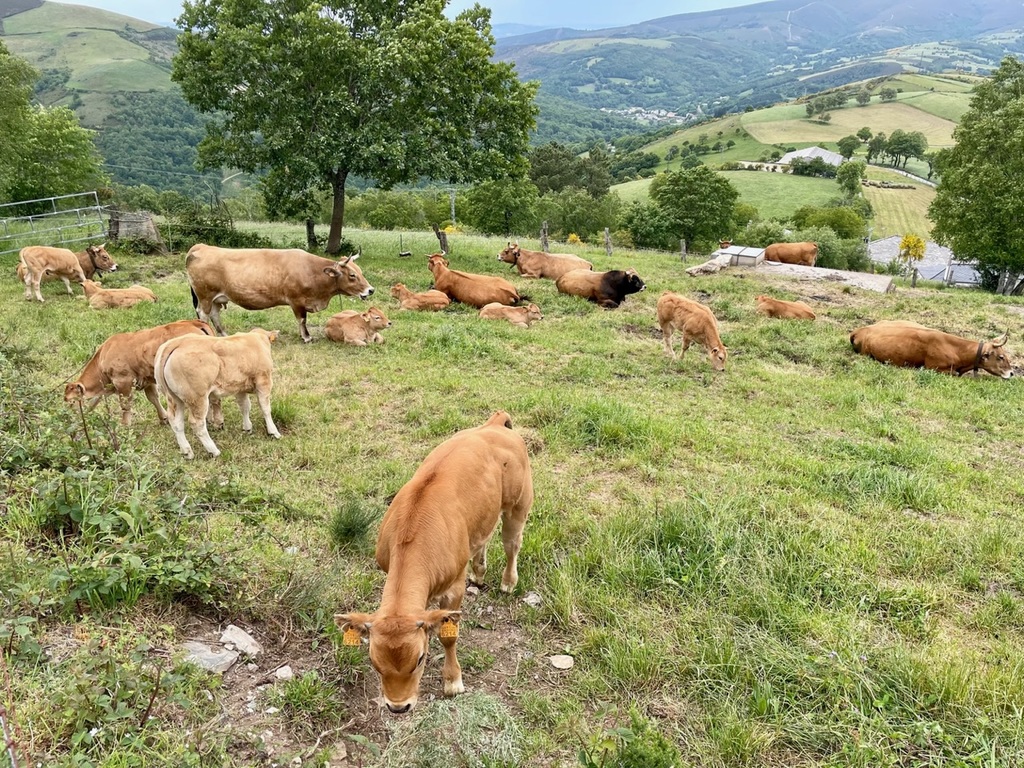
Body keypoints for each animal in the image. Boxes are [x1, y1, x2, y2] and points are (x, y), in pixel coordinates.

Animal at [64, 319, 214, 428]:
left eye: (71, 402)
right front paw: (163, 418)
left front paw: (125, 425)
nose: (66, 419)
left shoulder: (123, 381)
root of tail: (194, 322)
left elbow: (125, 405)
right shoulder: (147, 379)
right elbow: (153, 398)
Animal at [151, 327, 282, 460]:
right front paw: (273, 432)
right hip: (197, 397)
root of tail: (176, 342)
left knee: (176, 423)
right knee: (197, 423)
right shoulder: (264, 381)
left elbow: (244, 407)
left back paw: (187, 451)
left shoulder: (239, 387)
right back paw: (213, 450)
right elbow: (265, 408)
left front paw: (247, 428)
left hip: (175, 398)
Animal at [186, 244, 374, 344]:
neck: (312, 271)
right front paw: (306, 337)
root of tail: (201, 246)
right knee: (204, 315)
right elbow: (302, 320)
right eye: (352, 275)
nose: (371, 290)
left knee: (215, 315)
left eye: (360, 271)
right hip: (205, 297)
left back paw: (224, 335)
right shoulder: (296, 301)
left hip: (216, 298)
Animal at [335, 411, 532, 712]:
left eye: (420, 658)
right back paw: (479, 572)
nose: (398, 706)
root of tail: (494, 425)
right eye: (373, 661)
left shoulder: (454, 587)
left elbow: (448, 635)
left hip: (519, 503)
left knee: (512, 543)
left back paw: (508, 582)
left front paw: (452, 681)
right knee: (482, 539)